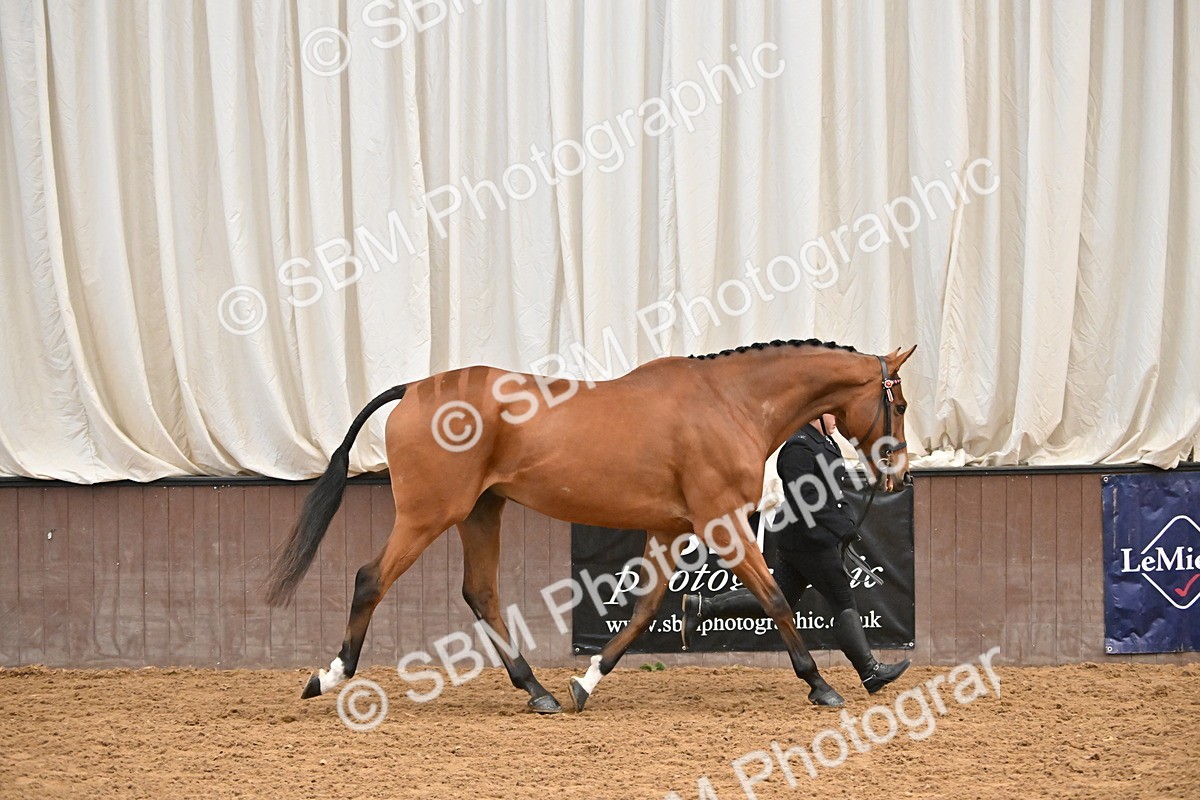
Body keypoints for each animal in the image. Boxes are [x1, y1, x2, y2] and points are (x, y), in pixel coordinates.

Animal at [266, 339, 915, 712]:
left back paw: (540, 693)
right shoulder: (723, 522)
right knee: (371, 578)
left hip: (481, 512)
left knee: (480, 593)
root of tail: (416, 390)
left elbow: (646, 610)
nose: (898, 476)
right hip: (430, 514)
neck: (729, 402)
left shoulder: (669, 529)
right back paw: (328, 677)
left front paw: (587, 682)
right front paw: (821, 685)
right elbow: (777, 598)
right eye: (901, 404)